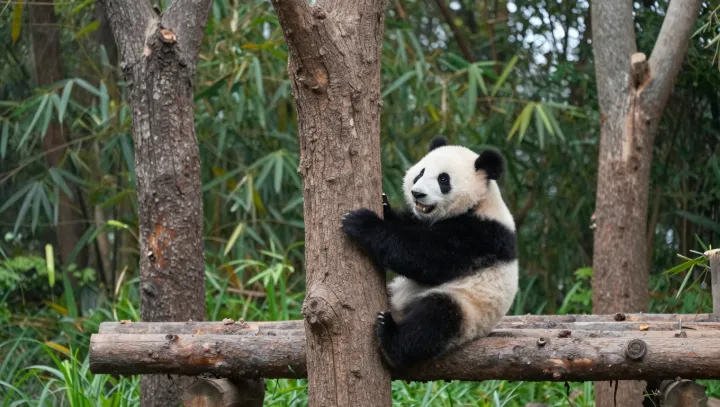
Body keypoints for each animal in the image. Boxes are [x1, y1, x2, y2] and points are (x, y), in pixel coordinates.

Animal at [340, 136, 518, 369]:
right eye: (421, 173)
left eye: (443, 180)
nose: (417, 193)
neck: (479, 203)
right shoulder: (424, 220)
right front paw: (384, 205)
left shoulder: (480, 236)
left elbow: (424, 258)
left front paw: (362, 222)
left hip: (469, 308)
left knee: (434, 320)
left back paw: (390, 337)